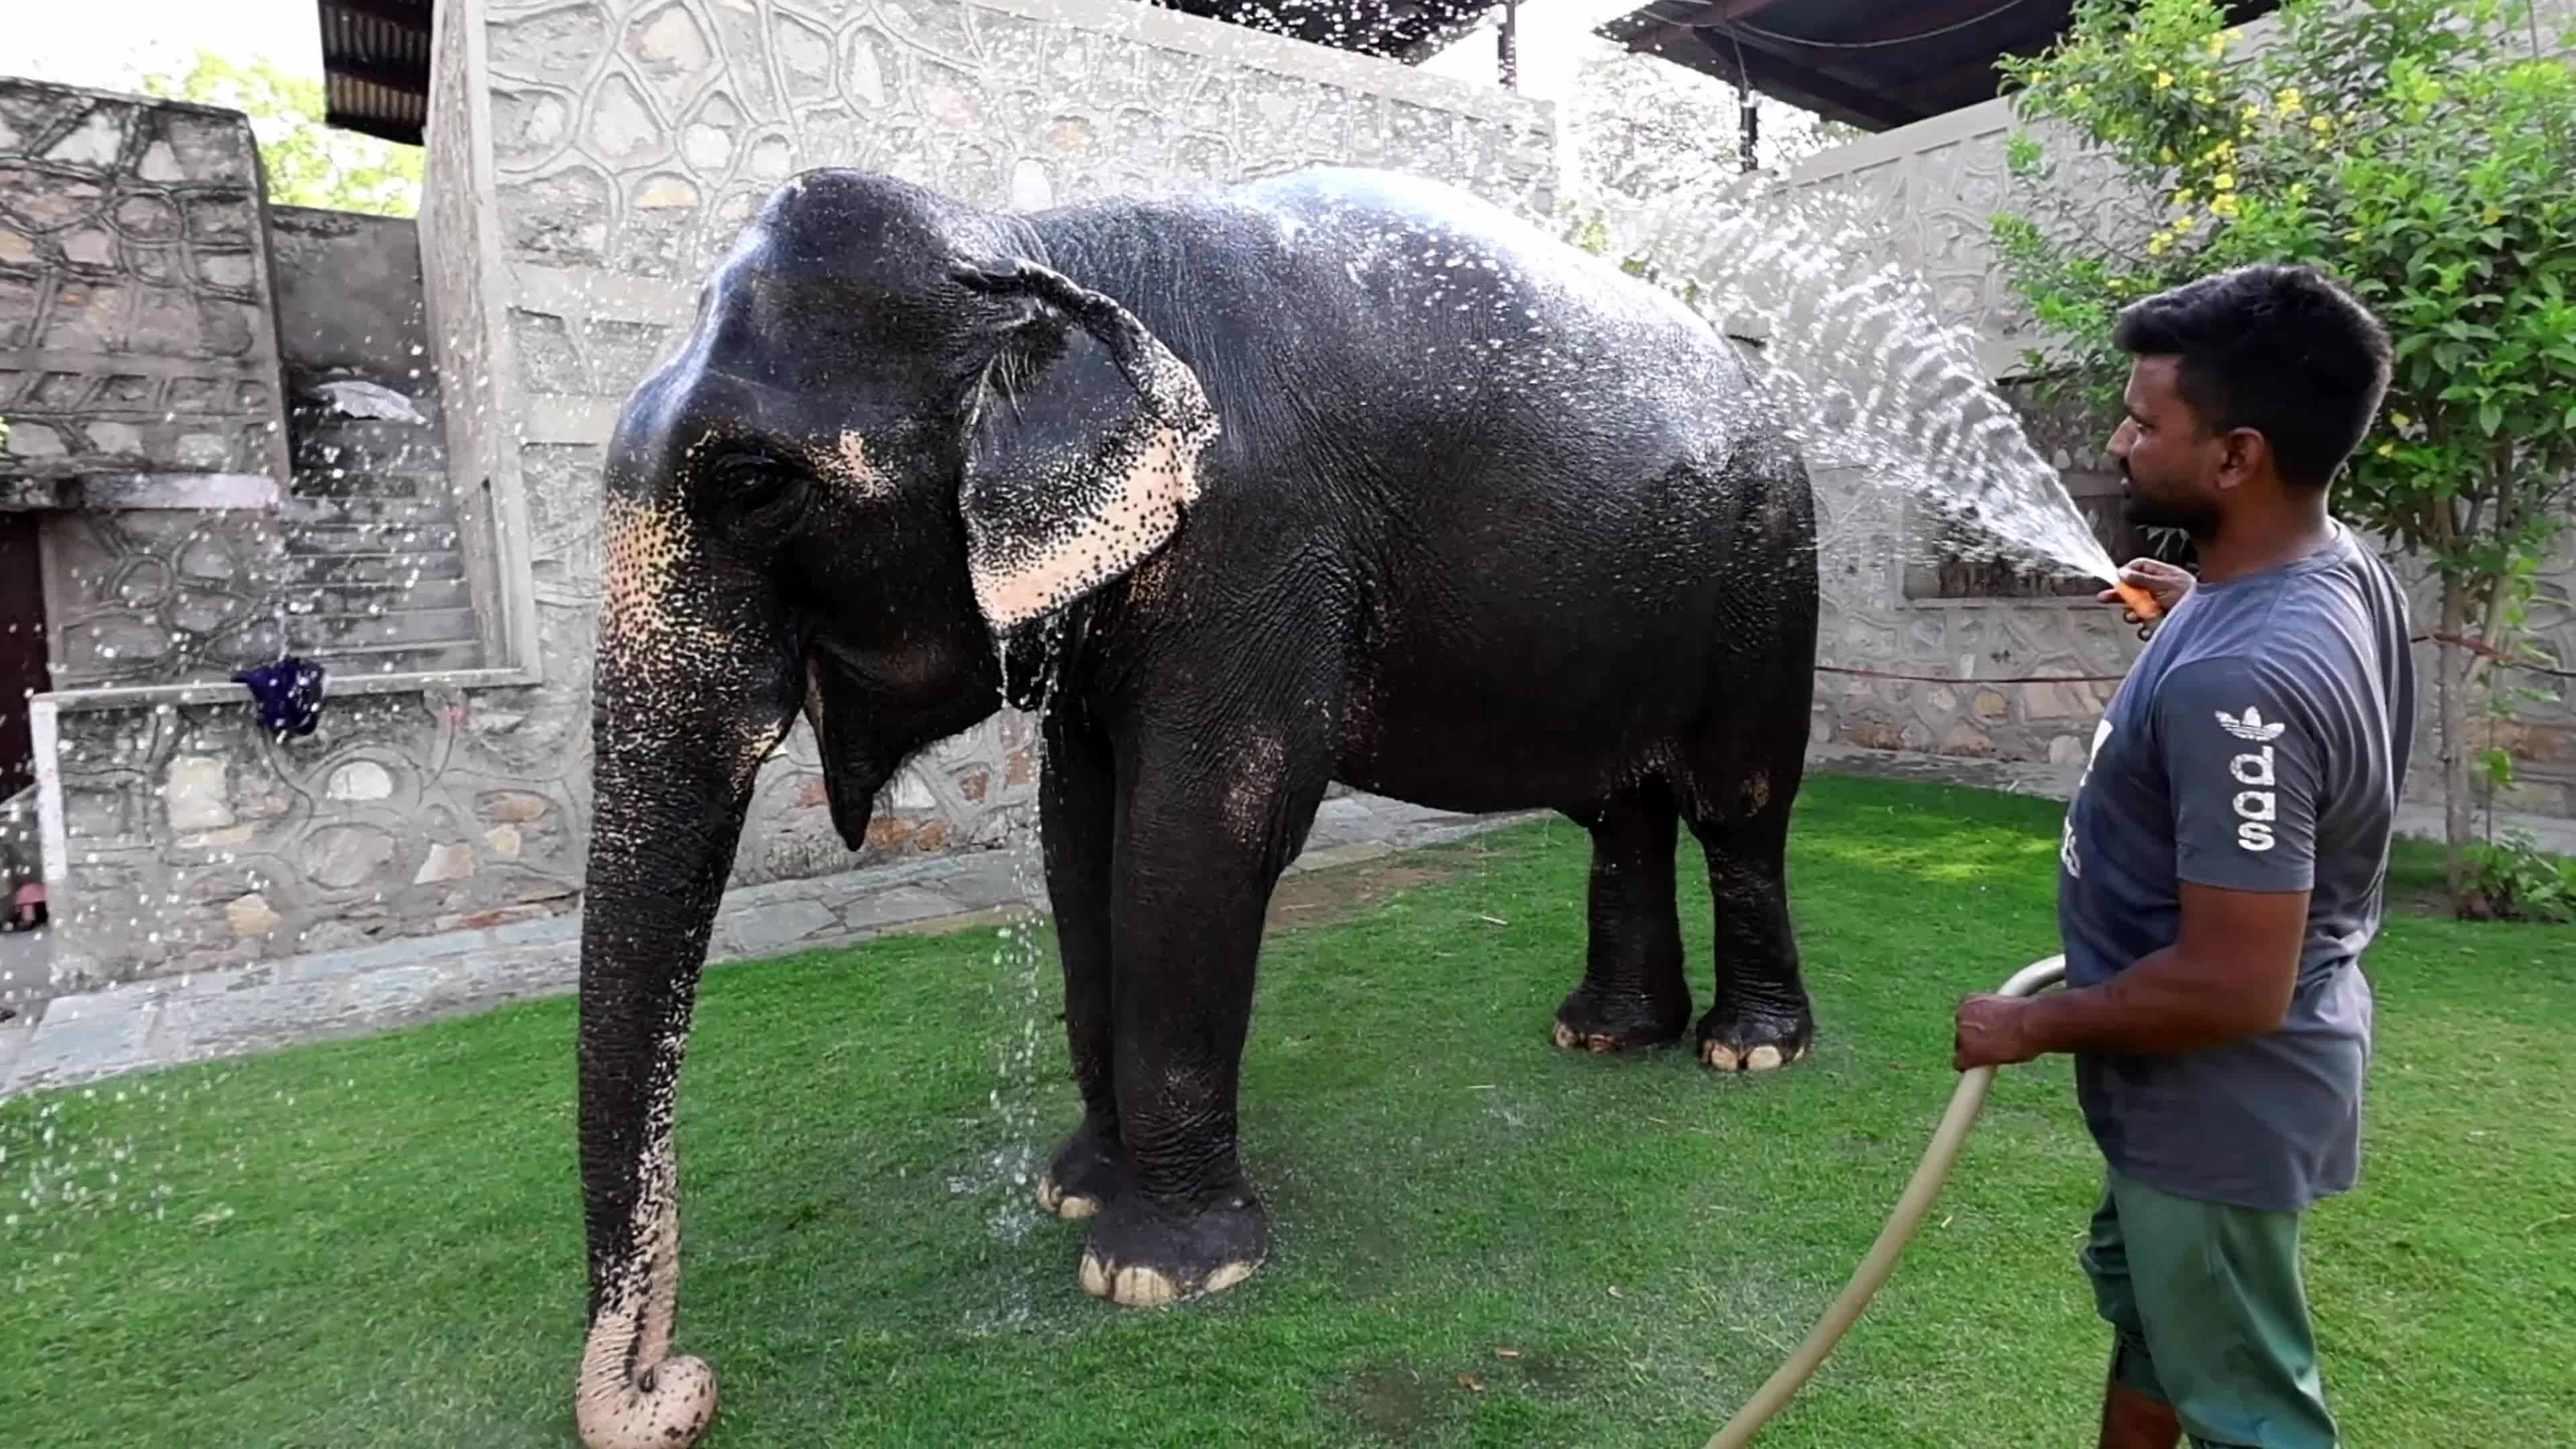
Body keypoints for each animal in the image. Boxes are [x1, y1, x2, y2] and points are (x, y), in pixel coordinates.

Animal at [572, 163, 1820, 1448]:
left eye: (752, 486)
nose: (677, 1386)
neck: (1028, 245)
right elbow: (1078, 840)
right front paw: (1072, 1190)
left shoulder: (1255, 546)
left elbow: (1196, 841)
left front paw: (1159, 1271)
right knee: (1623, 812)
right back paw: (1608, 1036)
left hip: (1767, 572)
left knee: (1736, 803)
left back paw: (1747, 1052)